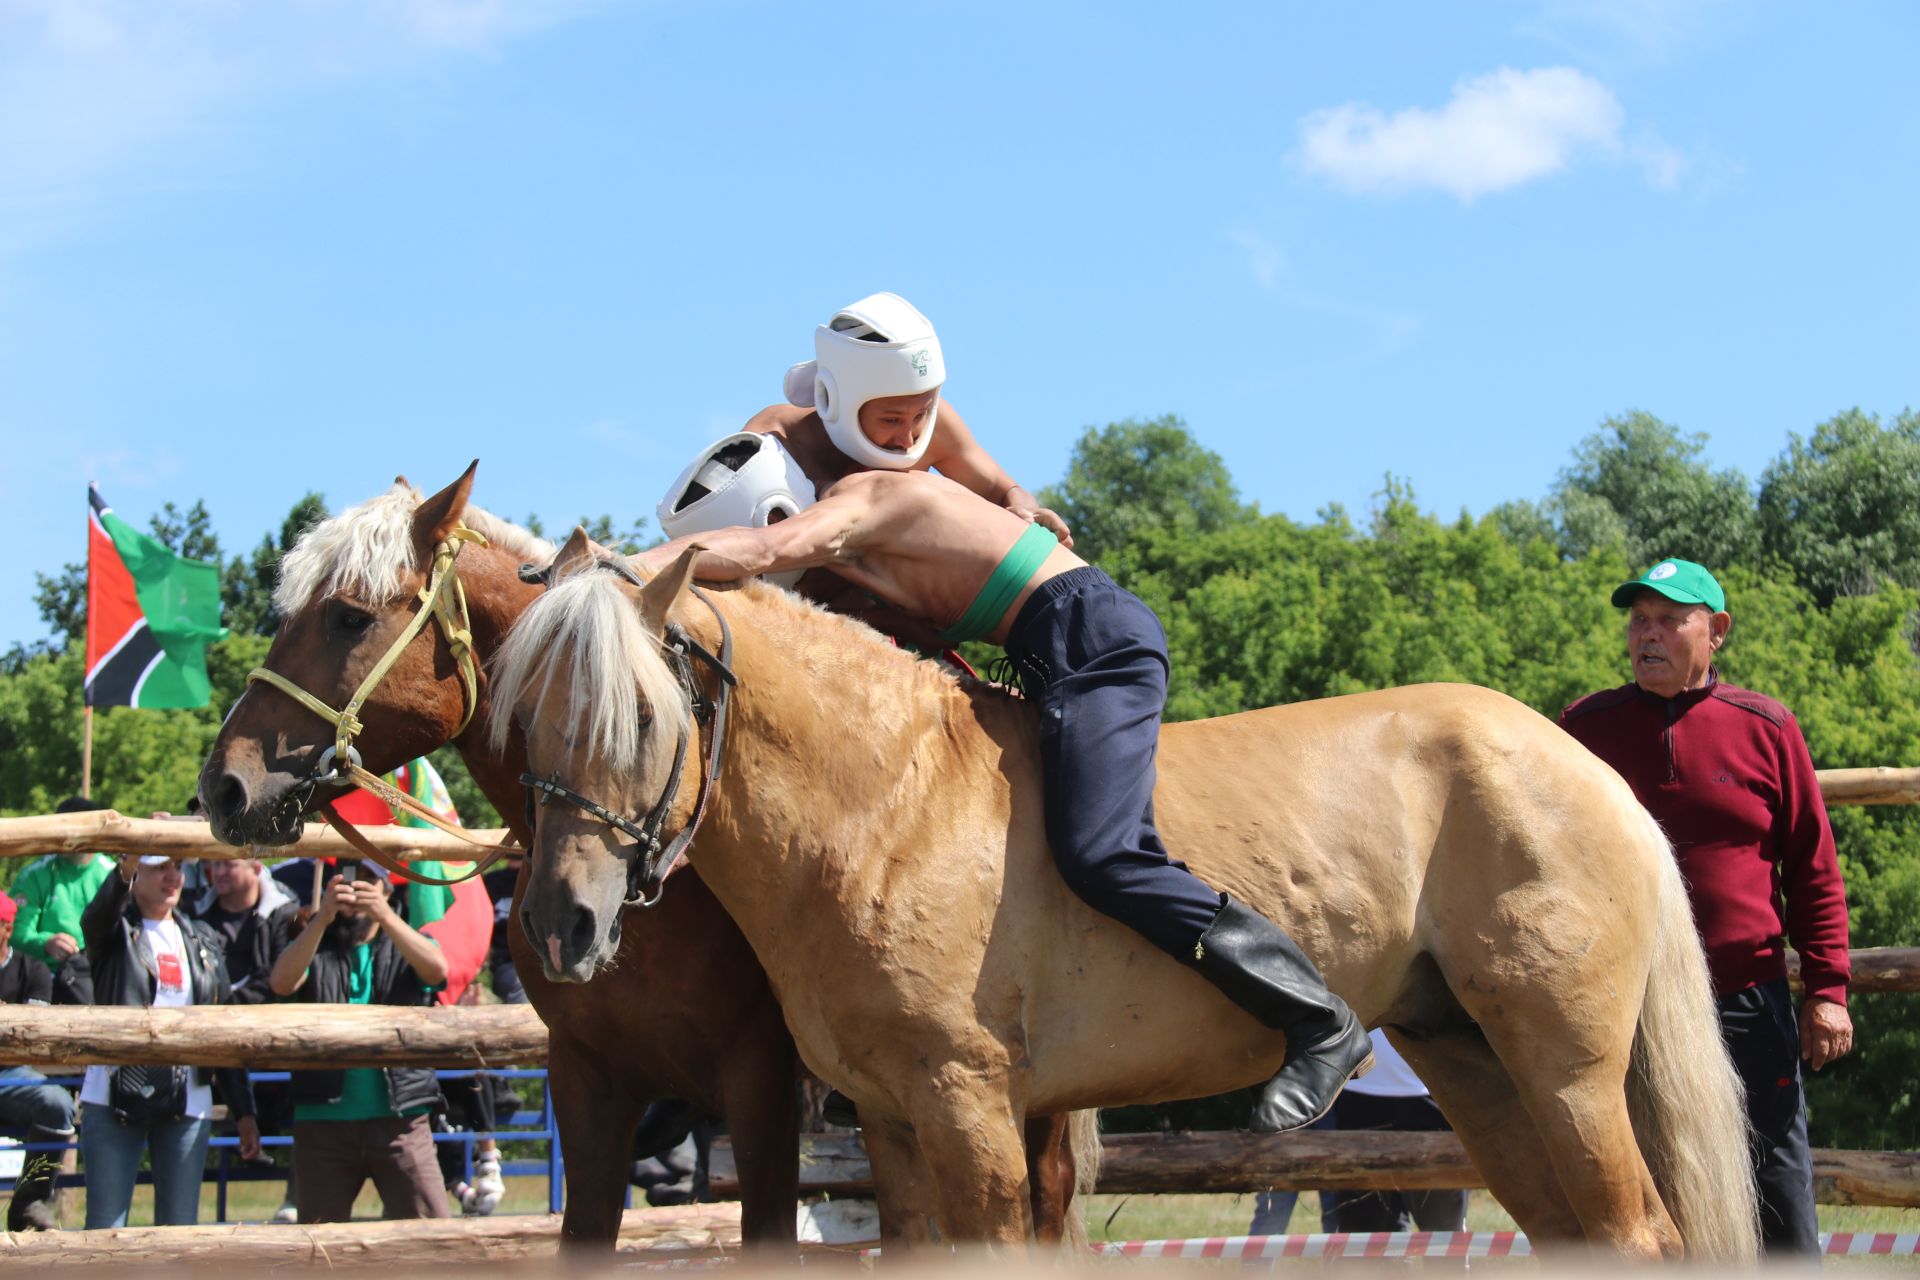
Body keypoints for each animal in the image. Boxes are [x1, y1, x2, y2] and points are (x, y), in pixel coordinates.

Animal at [503, 541, 1758, 1258]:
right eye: (525, 719)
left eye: (641, 715)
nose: (559, 924)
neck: (885, 800)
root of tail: (1587, 766)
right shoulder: (896, 1126)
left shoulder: (968, 1111)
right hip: (1473, 1059)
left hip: (1567, 1068)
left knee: (1637, 1231)